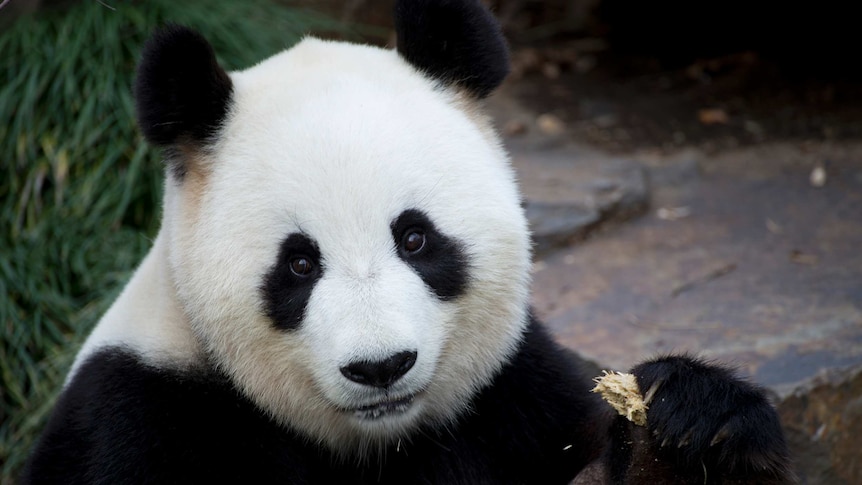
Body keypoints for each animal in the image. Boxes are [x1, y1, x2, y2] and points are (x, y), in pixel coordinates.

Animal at [22, 0, 796, 484]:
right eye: (298, 263)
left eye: (416, 238)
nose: (380, 366)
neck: (378, 442)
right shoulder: (144, 417)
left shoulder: (512, 396)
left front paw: (695, 423)